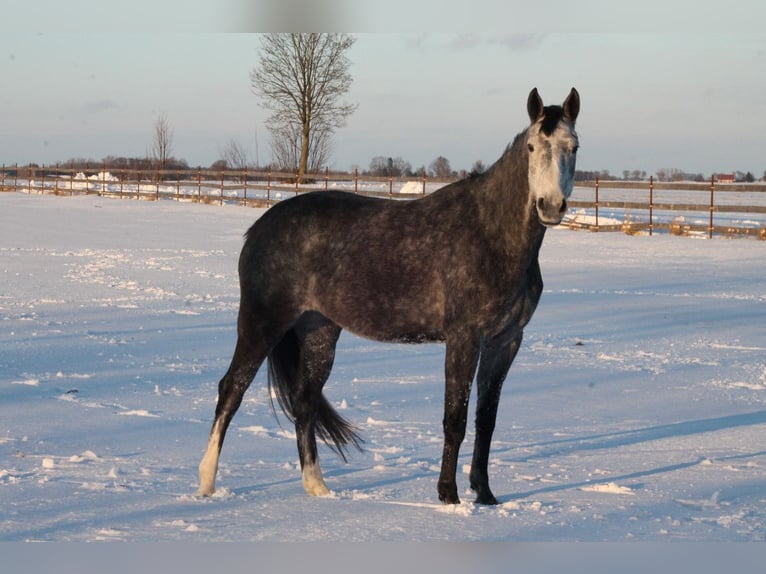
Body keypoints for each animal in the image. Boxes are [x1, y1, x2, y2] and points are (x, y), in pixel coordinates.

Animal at [197, 87, 580, 505]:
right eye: (531, 147)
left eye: (573, 146)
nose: (550, 206)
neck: (491, 234)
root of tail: (259, 228)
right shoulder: (464, 338)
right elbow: (456, 419)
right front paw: (449, 496)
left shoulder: (505, 341)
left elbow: (486, 421)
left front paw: (485, 494)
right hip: (262, 324)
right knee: (231, 390)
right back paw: (206, 483)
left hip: (319, 332)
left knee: (304, 400)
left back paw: (317, 487)